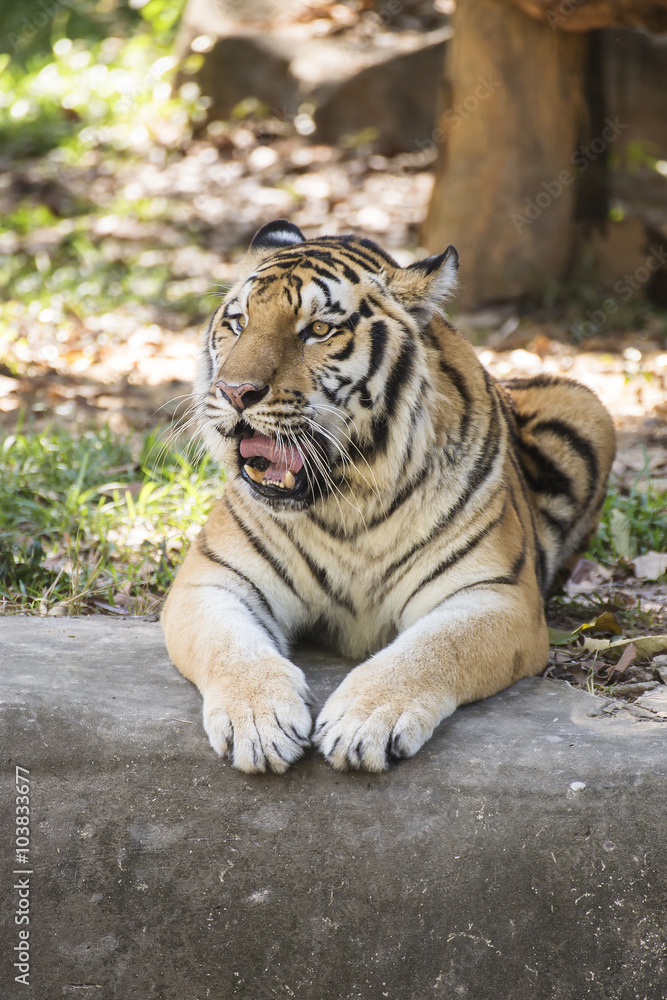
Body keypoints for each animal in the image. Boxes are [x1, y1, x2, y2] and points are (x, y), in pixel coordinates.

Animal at [161, 219, 615, 774]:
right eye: (239, 322)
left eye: (319, 330)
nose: (233, 391)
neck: (347, 494)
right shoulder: (212, 580)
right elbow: (231, 647)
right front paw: (259, 721)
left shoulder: (496, 594)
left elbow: (433, 651)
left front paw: (363, 722)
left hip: (586, 408)